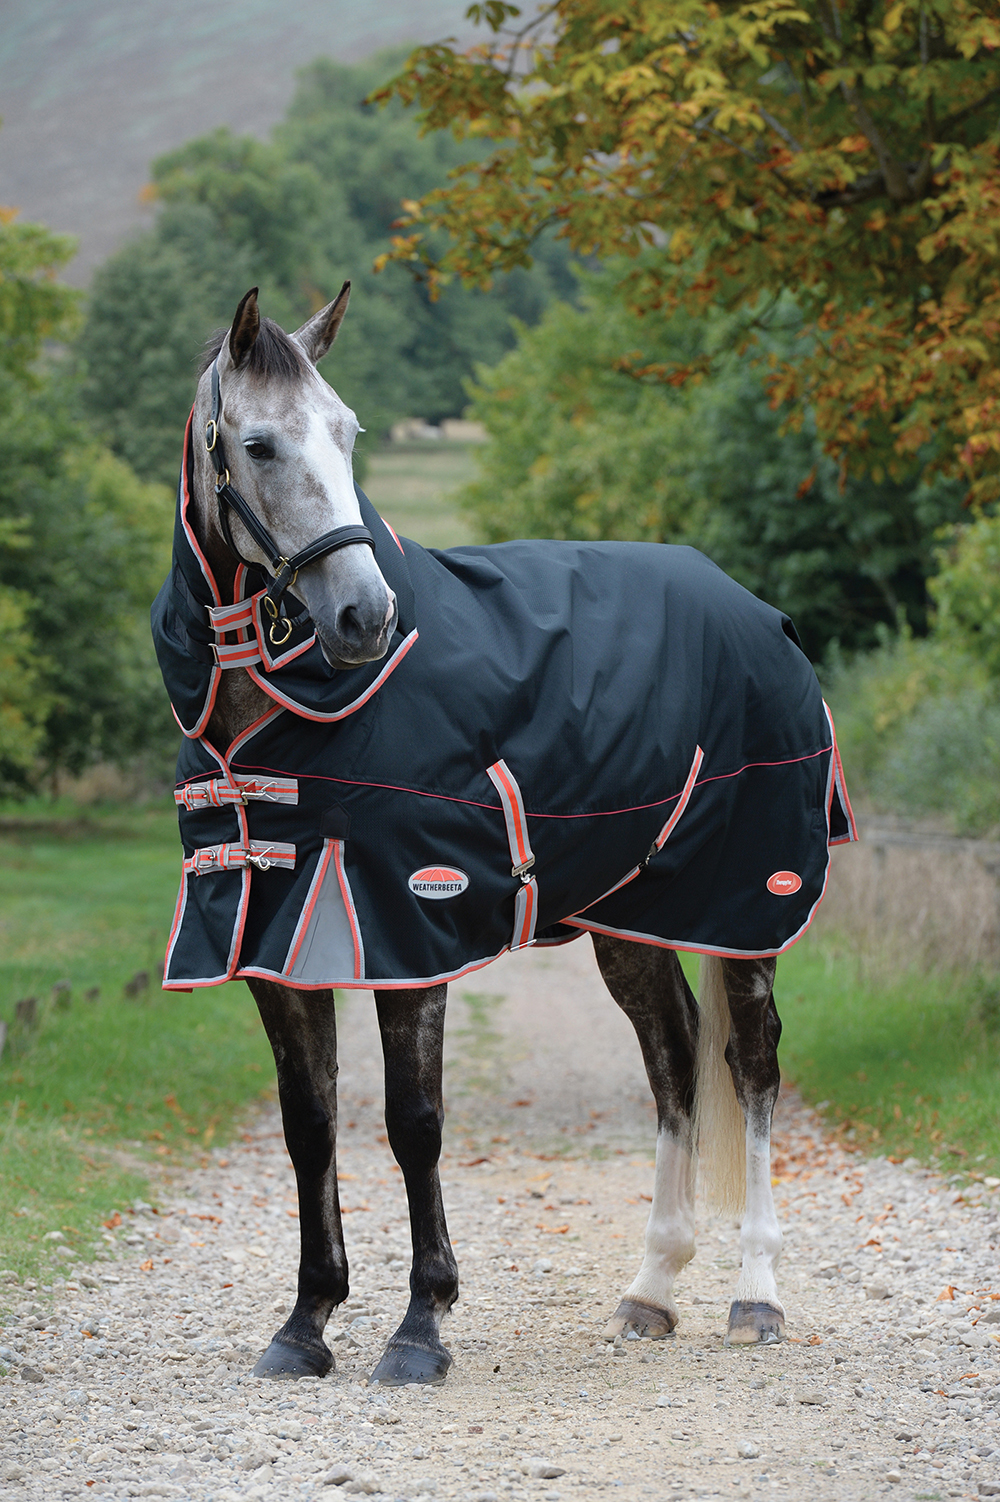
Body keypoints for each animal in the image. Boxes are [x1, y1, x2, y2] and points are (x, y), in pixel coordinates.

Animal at [152, 284, 855, 1386]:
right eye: (258, 444)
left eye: (348, 432)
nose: (362, 614)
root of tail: (763, 615)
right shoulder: (273, 929)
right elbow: (309, 1126)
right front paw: (305, 1323)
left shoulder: (405, 920)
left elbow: (414, 1124)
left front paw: (419, 1326)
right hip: (633, 919)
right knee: (672, 1061)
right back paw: (653, 1289)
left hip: (745, 906)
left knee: (750, 1067)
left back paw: (755, 1294)